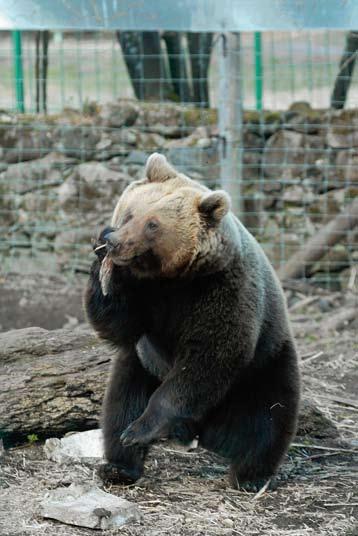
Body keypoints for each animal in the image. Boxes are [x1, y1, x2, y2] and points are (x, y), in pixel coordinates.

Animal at [84, 152, 300, 490]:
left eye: (153, 224)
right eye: (129, 213)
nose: (116, 241)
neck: (172, 279)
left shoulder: (221, 290)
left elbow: (207, 359)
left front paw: (142, 428)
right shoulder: (144, 298)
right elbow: (119, 323)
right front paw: (100, 256)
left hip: (266, 364)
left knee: (268, 418)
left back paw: (248, 476)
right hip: (140, 365)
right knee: (121, 402)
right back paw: (119, 465)